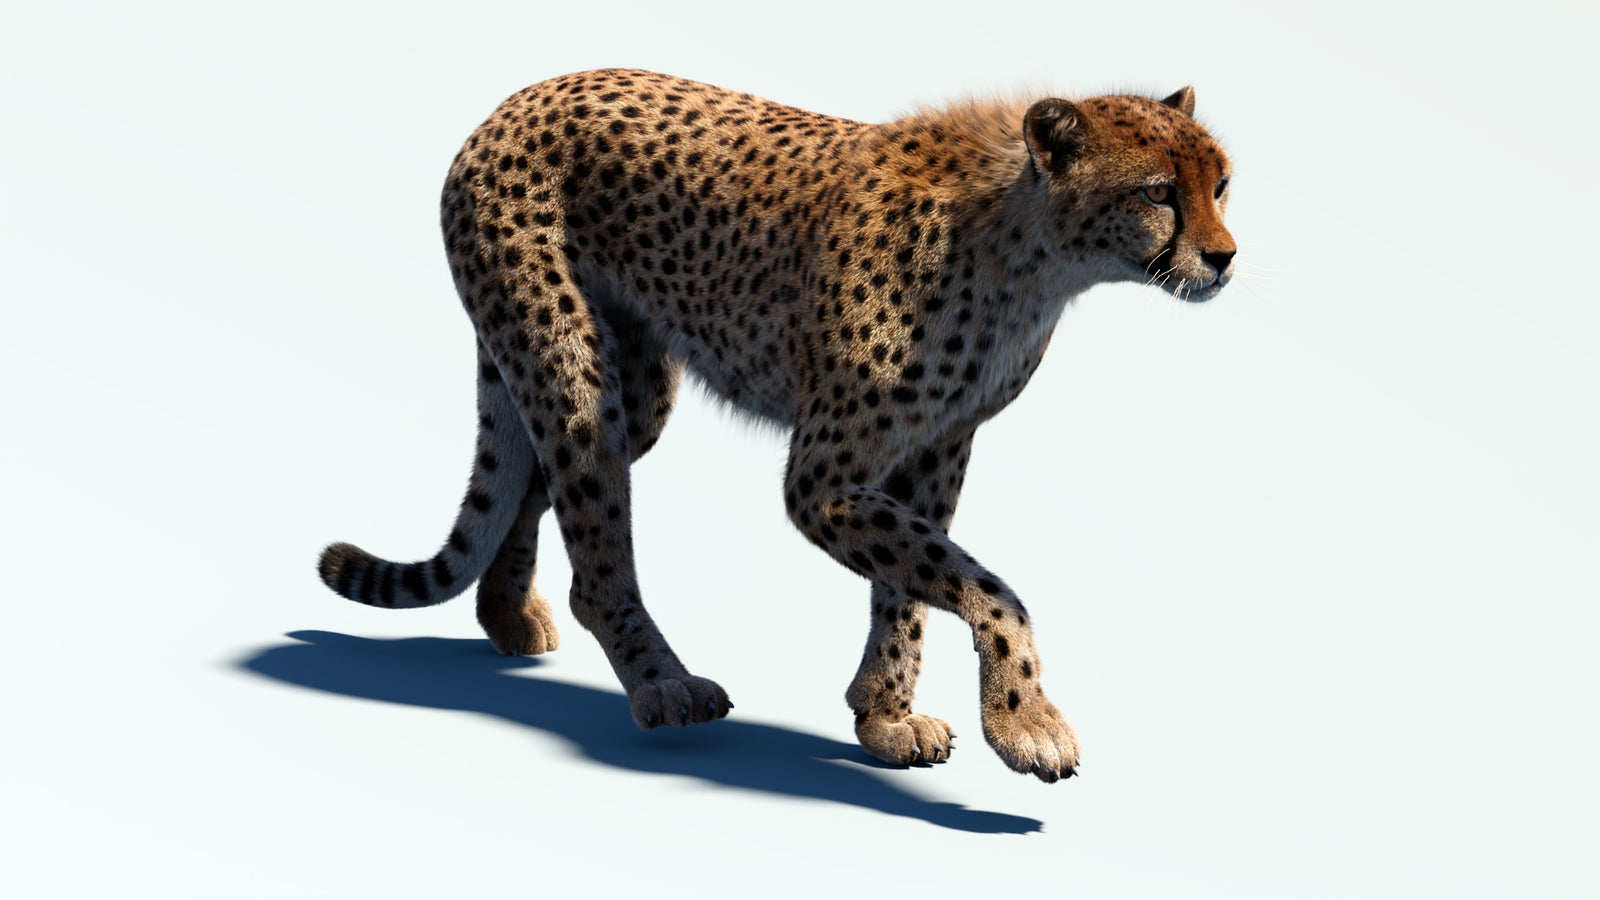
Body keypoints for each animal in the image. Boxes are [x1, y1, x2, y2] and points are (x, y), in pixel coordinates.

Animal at [317, 68, 1236, 782]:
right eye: (1158, 191)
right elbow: (985, 587)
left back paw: (507, 616)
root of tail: (519, 96)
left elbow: (913, 587)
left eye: (1220, 184)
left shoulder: (937, 447)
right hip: (572, 369)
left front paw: (884, 715)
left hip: (634, 391)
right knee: (593, 547)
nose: (1225, 257)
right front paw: (1026, 724)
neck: (1030, 252)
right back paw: (662, 684)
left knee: (532, 484)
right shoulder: (824, 478)